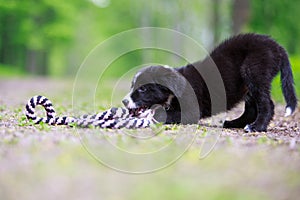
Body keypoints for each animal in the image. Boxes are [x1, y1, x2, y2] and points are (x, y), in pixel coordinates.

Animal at [122, 33, 298, 132]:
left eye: (143, 89)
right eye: (132, 86)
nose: (124, 101)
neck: (173, 90)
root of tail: (277, 47)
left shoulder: (191, 111)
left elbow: (161, 114)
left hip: (253, 71)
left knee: (267, 104)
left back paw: (256, 127)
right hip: (247, 85)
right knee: (251, 109)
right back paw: (232, 124)